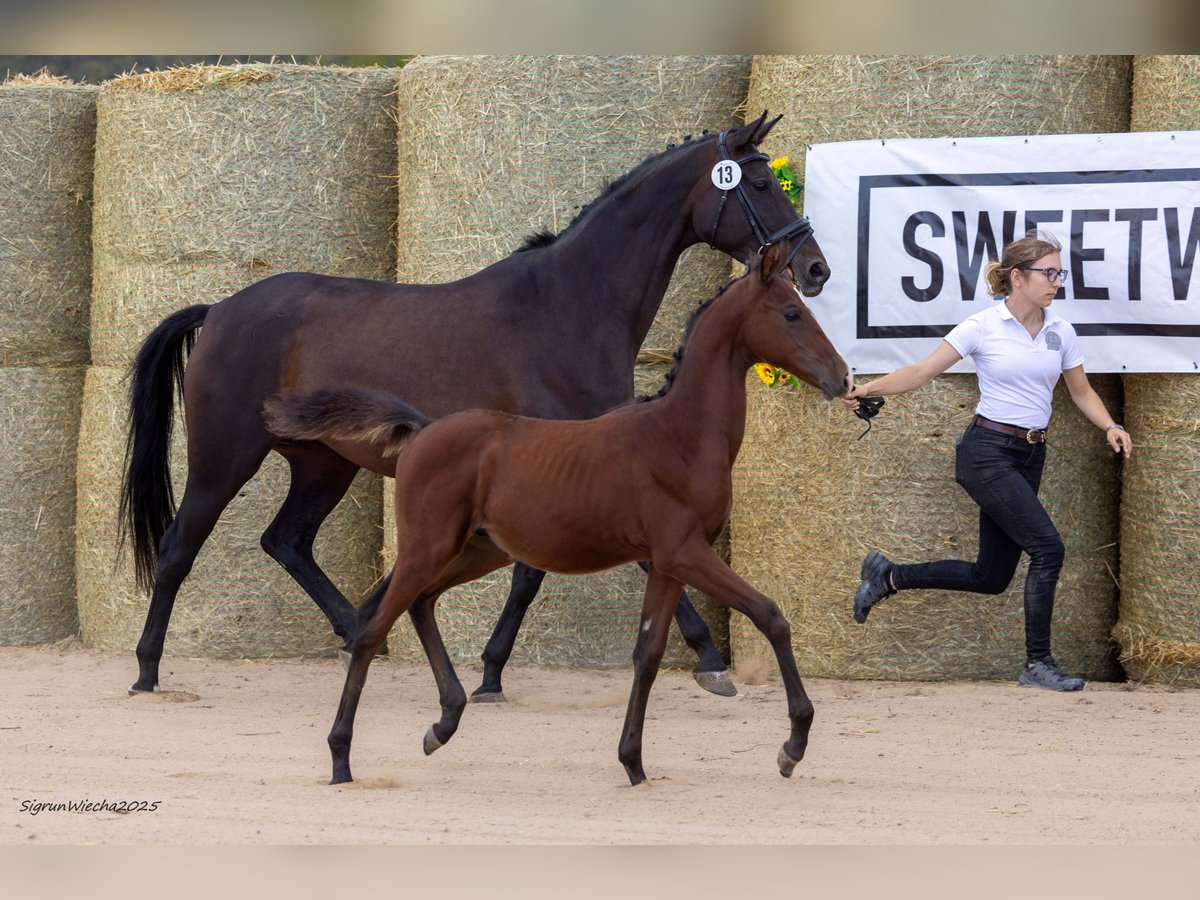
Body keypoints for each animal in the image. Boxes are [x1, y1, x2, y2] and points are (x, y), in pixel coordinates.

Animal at [121, 111, 830, 699]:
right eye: (760, 184)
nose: (815, 268)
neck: (566, 307)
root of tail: (219, 309)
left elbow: (545, 571)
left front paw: (490, 671)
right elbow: (573, 569)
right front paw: (708, 661)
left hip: (324, 464)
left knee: (287, 541)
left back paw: (358, 627)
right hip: (225, 457)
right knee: (181, 546)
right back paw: (149, 669)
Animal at [264, 239, 852, 786]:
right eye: (792, 313)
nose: (843, 377)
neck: (678, 435)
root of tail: (423, 428)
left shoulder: (667, 564)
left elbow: (649, 654)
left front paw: (633, 762)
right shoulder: (686, 553)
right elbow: (770, 615)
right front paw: (793, 745)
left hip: (479, 551)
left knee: (420, 604)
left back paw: (444, 723)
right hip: (428, 547)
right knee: (371, 630)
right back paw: (342, 757)